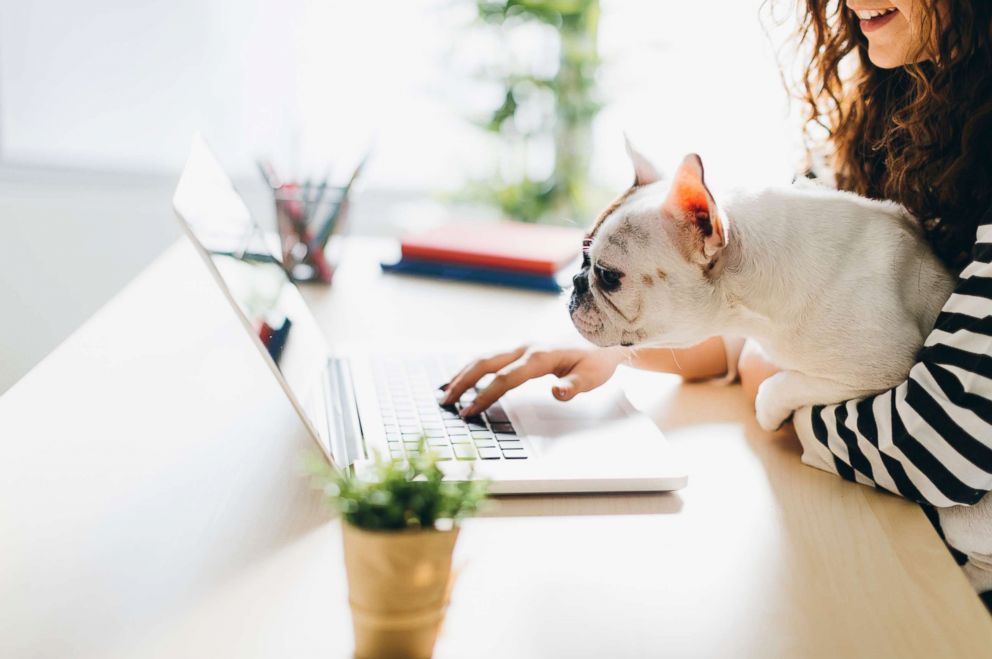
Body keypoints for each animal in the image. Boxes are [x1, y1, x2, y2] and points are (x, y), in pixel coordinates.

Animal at [568, 142, 956, 434]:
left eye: (607, 276)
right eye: (583, 256)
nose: (575, 282)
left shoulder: (881, 369)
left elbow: (780, 384)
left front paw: (768, 415)